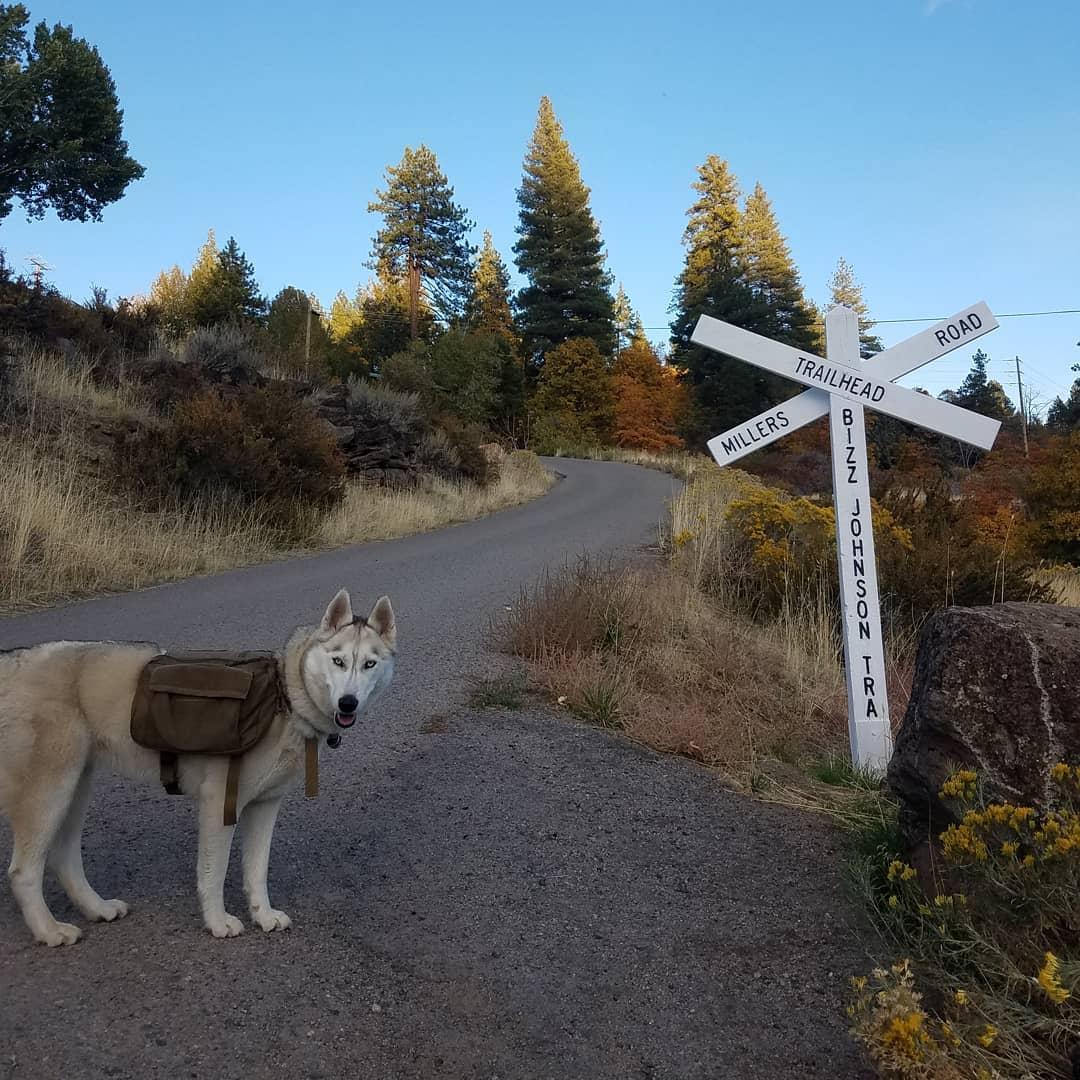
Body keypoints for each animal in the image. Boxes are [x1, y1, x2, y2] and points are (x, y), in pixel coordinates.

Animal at [0, 587, 397, 950]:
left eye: (369, 664)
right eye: (338, 661)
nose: (348, 703)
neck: (284, 699)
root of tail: (16, 660)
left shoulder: (265, 807)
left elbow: (257, 871)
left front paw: (263, 915)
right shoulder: (219, 804)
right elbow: (214, 873)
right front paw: (218, 921)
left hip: (75, 789)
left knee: (64, 858)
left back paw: (96, 908)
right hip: (50, 792)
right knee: (23, 872)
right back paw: (49, 930)